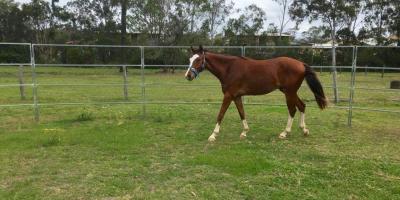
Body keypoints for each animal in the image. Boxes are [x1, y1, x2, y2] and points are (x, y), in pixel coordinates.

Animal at [186, 46, 326, 141]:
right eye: (190, 59)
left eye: (199, 60)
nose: (188, 76)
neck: (229, 68)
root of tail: (301, 64)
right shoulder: (236, 96)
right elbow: (242, 113)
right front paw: (244, 132)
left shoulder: (228, 95)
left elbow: (221, 114)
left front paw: (213, 135)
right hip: (290, 92)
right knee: (302, 106)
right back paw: (304, 130)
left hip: (289, 93)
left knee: (293, 110)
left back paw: (284, 133)